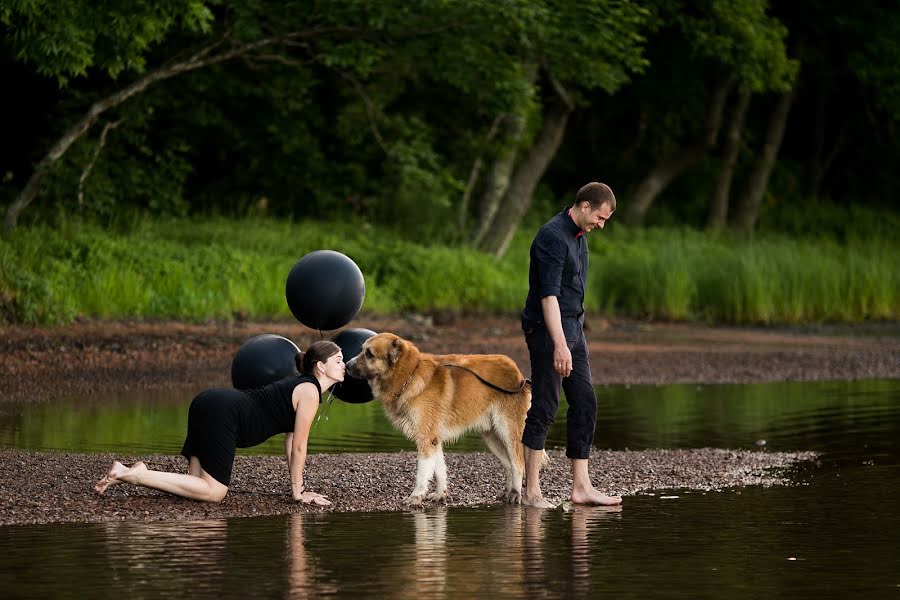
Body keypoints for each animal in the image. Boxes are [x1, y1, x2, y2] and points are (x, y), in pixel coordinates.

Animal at [342, 330, 528, 504]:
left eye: (369, 354)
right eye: (362, 350)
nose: (346, 365)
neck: (409, 374)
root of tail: (517, 372)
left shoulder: (426, 438)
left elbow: (422, 472)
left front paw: (416, 495)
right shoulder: (434, 439)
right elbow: (439, 470)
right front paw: (440, 494)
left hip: (508, 431)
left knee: (518, 463)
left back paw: (515, 493)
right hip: (491, 436)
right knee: (508, 465)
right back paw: (507, 492)